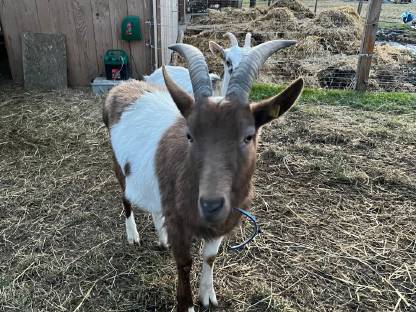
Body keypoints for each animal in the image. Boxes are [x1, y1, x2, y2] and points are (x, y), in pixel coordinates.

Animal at [102, 42, 304, 312]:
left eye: (248, 136)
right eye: (189, 135)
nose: (211, 204)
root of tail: (124, 85)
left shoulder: (222, 223)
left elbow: (210, 256)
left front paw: (208, 295)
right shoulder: (179, 222)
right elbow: (185, 263)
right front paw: (187, 304)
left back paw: (161, 239)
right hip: (119, 164)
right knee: (125, 198)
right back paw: (133, 236)